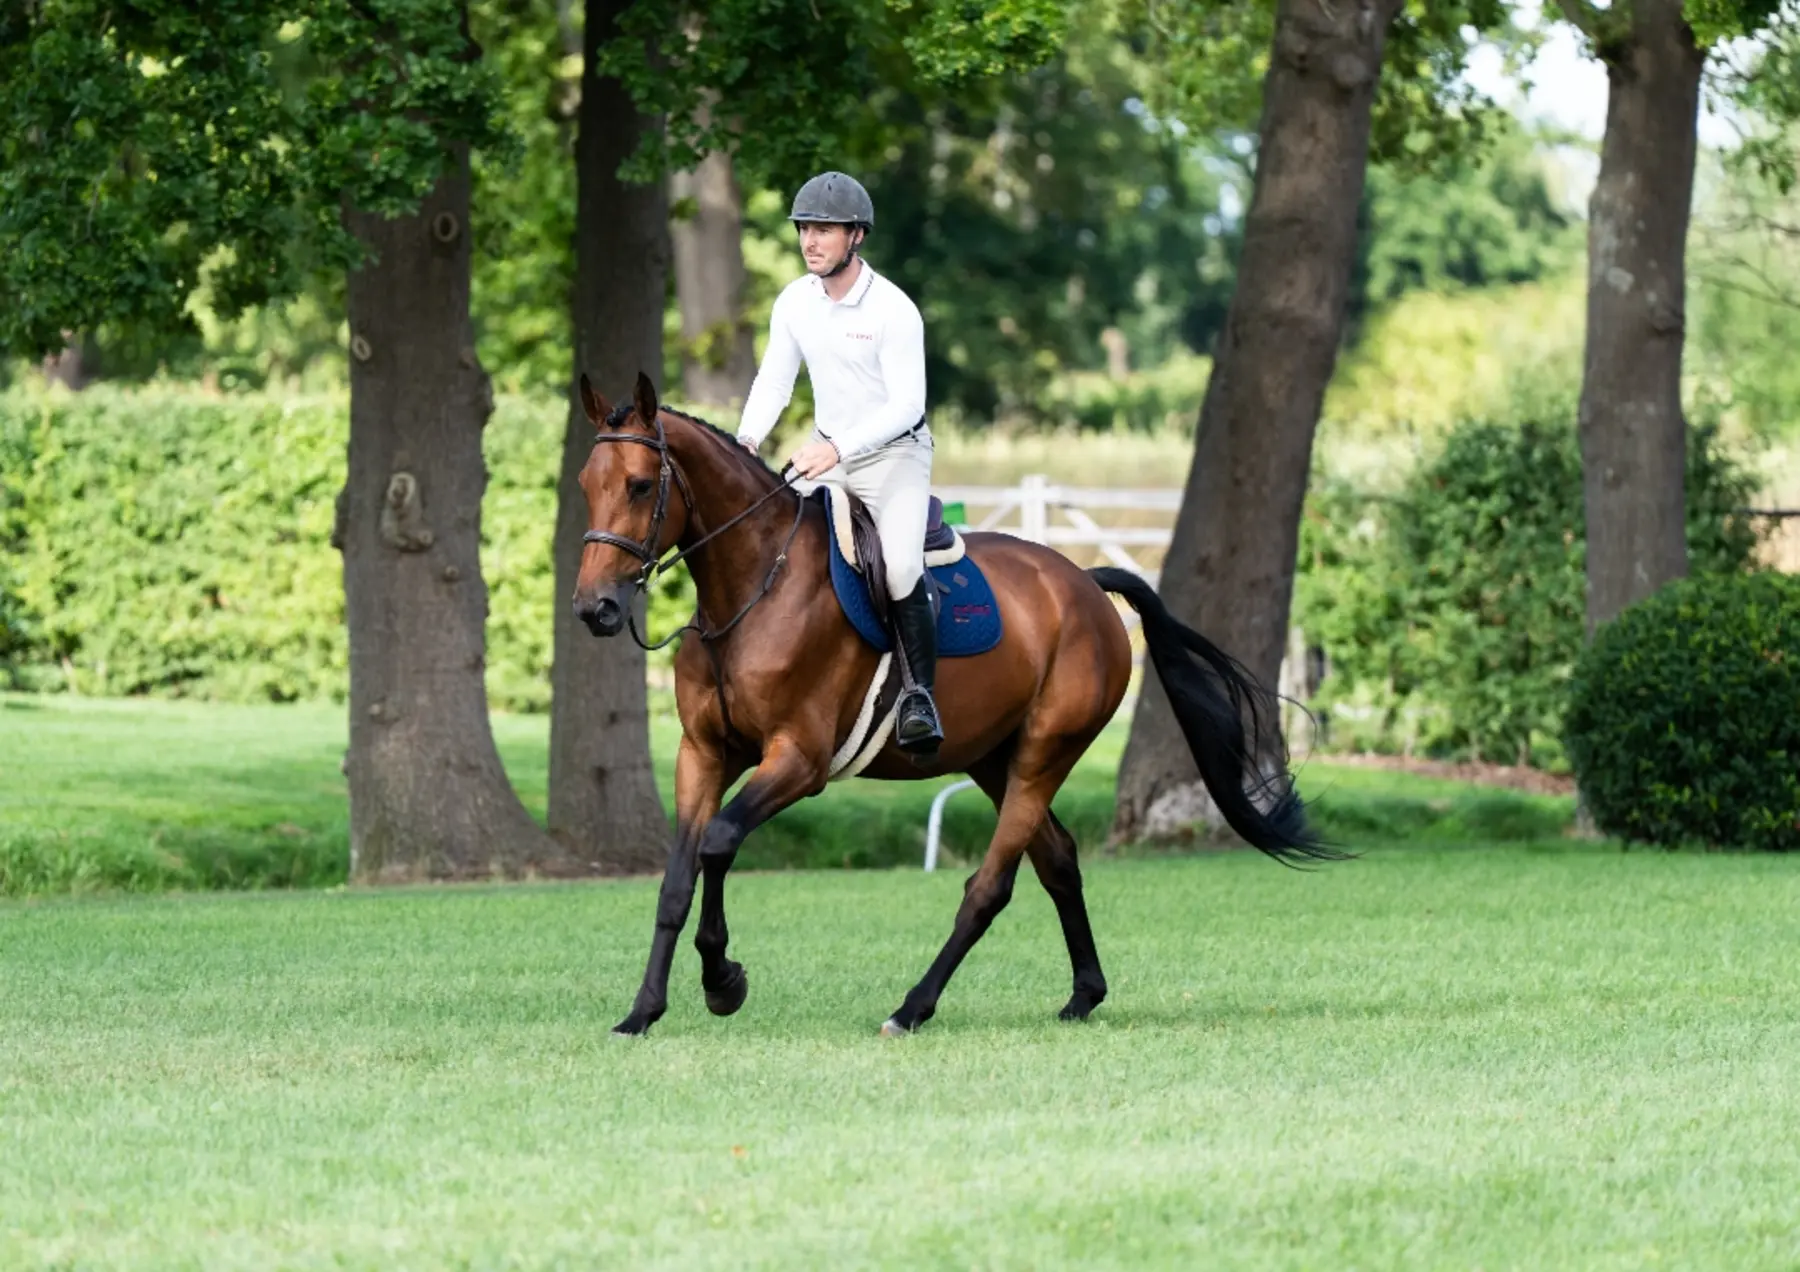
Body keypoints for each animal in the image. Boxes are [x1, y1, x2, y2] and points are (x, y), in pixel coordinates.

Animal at [571, 371, 1339, 1038]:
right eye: (586, 485)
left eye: (639, 485)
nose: (594, 609)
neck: (754, 588)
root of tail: (1084, 583)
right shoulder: (704, 754)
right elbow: (678, 878)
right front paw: (642, 1012)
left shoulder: (799, 761)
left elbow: (721, 842)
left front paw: (723, 981)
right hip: (995, 759)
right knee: (1057, 860)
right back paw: (1082, 996)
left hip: (1043, 756)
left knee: (990, 886)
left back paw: (912, 1008)